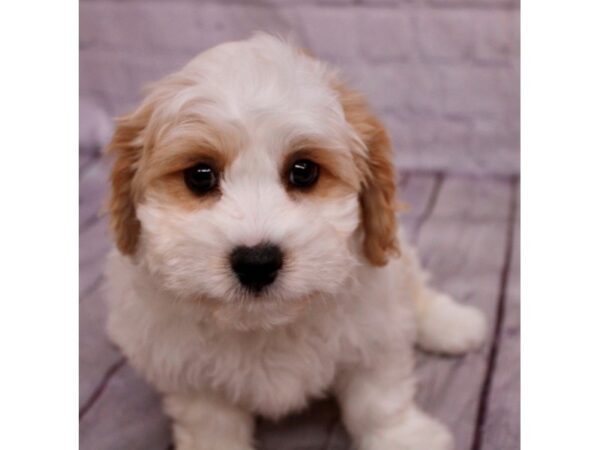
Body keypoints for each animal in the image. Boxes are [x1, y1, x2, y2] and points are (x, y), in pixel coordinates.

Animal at [104, 33, 488, 448]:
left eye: (304, 171)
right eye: (200, 176)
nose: (257, 262)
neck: (266, 326)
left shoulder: (376, 333)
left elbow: (379, 400)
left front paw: (402, 438)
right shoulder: (189, 374)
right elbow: (210, 423)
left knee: (417, 290)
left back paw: (452, 324)